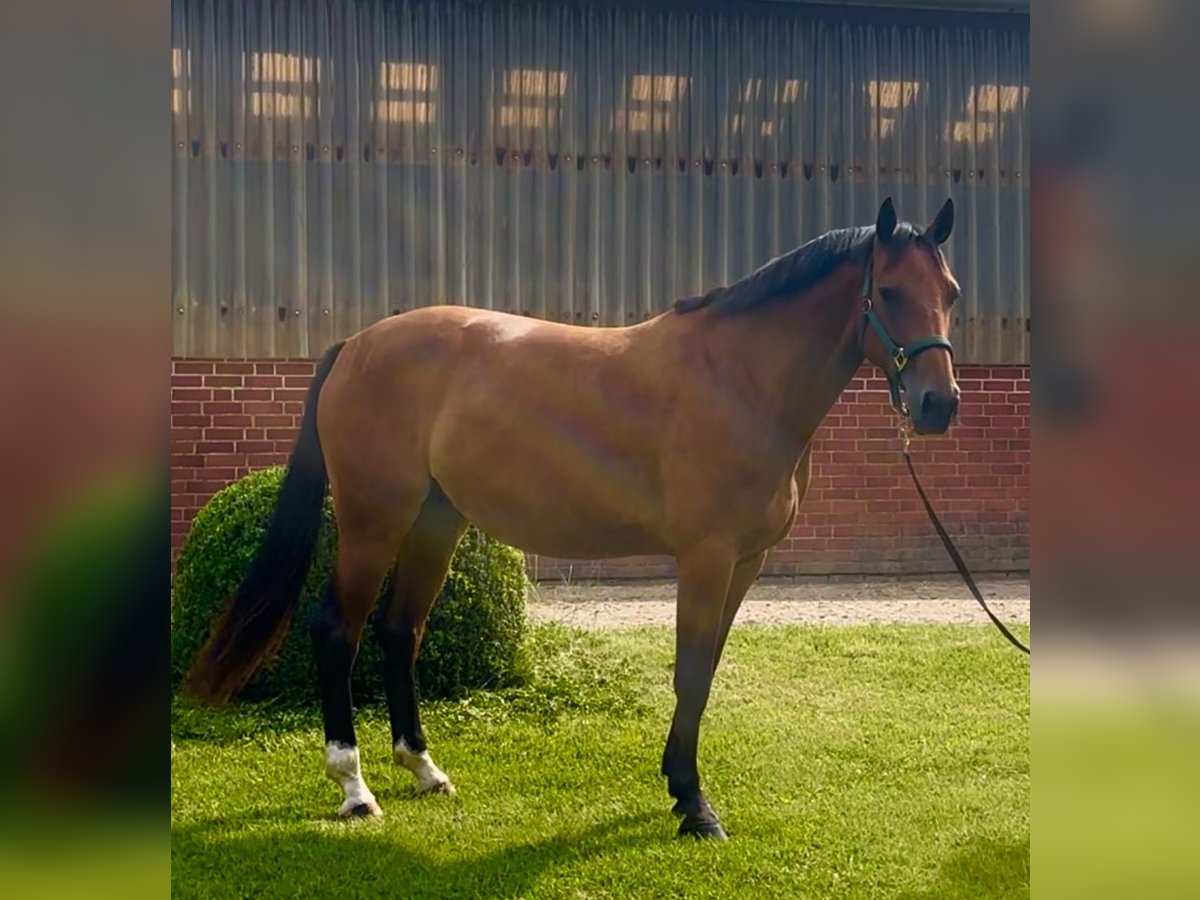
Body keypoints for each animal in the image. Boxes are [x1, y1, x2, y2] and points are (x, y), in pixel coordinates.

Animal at [187, 195, 960, 840]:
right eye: (891, 291)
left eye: (950, 293)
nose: (939, 404)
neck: (737, 379)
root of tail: (356, 344)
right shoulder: (707, 556)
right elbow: (688, 674)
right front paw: (695, 806)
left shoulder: (747, 561)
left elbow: (706, 672)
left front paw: (680, 786)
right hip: (374, 520)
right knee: (336, 631)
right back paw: (354, 788)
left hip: (437, 522)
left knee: (399, 631)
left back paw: (425, 770)